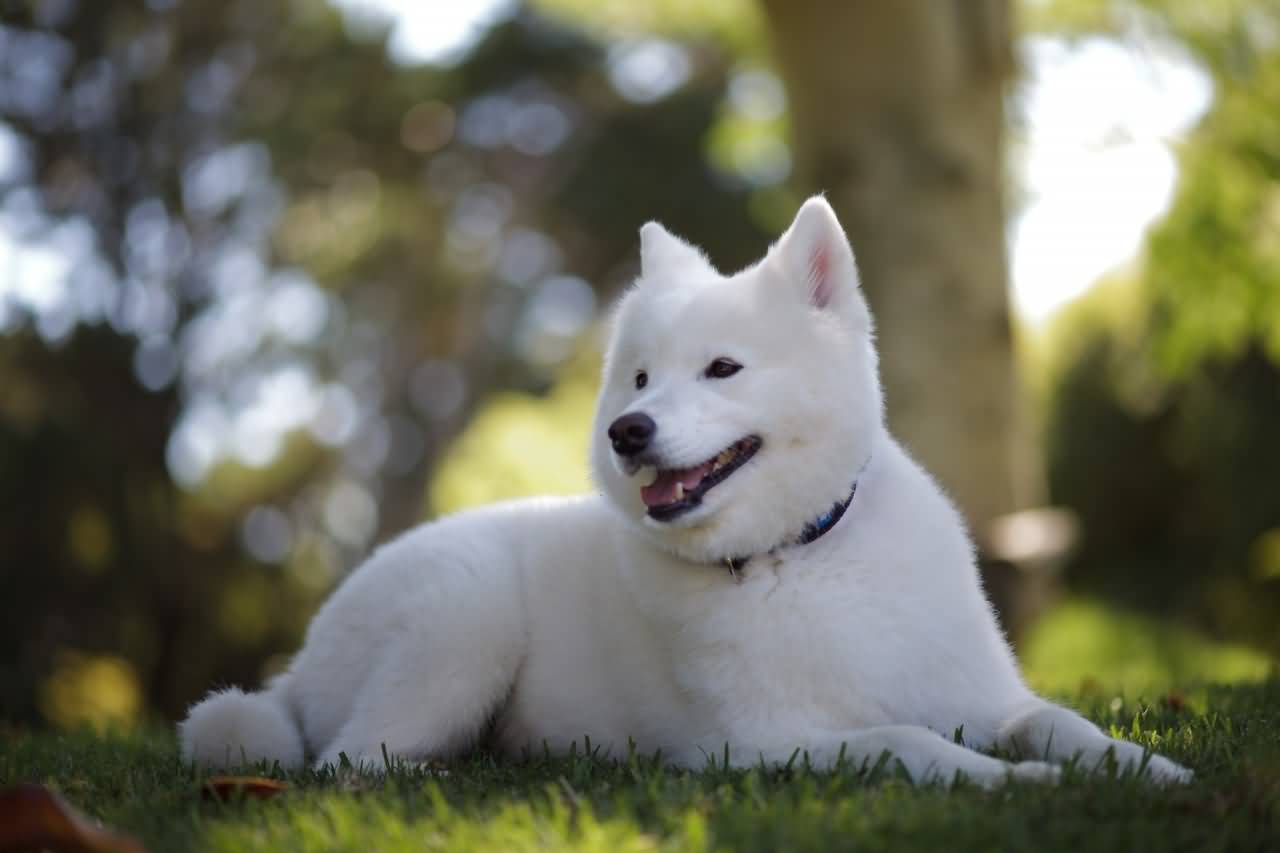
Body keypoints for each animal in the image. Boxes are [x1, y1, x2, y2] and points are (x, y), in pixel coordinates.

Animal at [180, 197, 1187, 783]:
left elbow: (1064, 723)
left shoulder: (988, 699)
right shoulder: (758, 744)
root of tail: (299, 664)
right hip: (462, 622)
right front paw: (1024, 784)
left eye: (722, 368)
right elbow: (908, 743)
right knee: (341, 761)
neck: (799, 554)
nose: (628, 431)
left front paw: (1150, 772)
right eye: (637, 379)